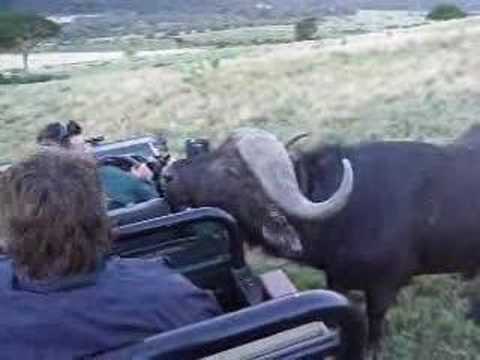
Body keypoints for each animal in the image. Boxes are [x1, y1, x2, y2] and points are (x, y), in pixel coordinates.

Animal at [164, 127, 480, 358]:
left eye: (229, 169)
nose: (168, 174)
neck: (347, 214)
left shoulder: (384, 285)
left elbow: (375, 319)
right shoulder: (336, 279)